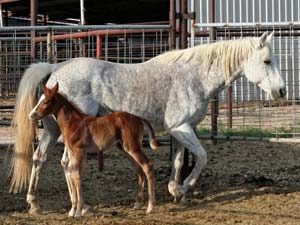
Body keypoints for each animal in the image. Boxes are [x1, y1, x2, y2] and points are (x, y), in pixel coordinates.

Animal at [29, 83, 158, 217]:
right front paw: (73, 210)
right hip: (125, 149)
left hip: (133, 147)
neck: (73, 123)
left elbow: (76, 175)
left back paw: (150, 206)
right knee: (139, 168)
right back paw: (137, 204)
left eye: (46, 101)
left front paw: (78, 211)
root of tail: (139, 118)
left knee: (148, 165)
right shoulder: (76, 152)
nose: (32, 115)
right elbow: (73, 173)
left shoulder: (79, 151)